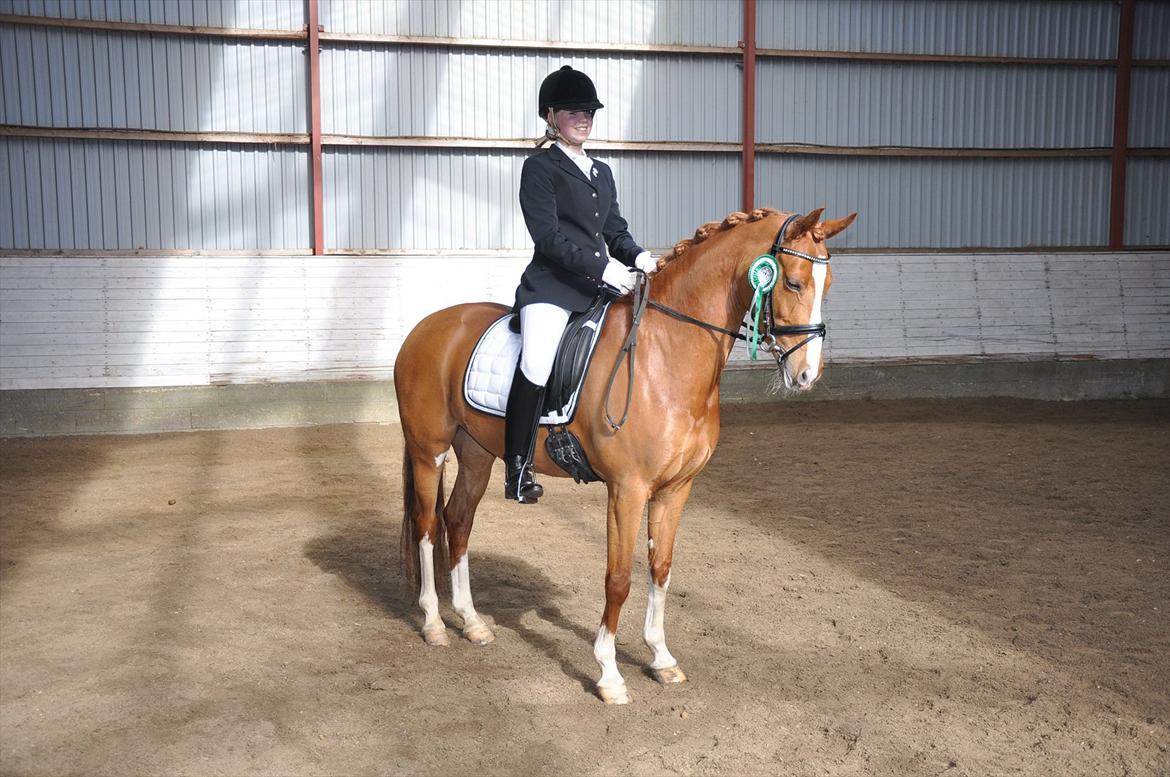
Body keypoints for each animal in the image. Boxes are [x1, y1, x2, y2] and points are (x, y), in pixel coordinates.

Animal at [393, 206, 857, 704]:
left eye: (828, 284)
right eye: (792, 282)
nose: (807, 374)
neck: (667, 353)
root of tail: (427, 327)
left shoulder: (676, 489)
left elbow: (660, 568)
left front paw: (661, 658)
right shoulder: (627, 490)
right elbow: (618, 579)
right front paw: (609, 674)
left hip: (477, 453)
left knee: (458, 522)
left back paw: (473, 622)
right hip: (428, 452)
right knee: (427, 527)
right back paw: (435, 623)